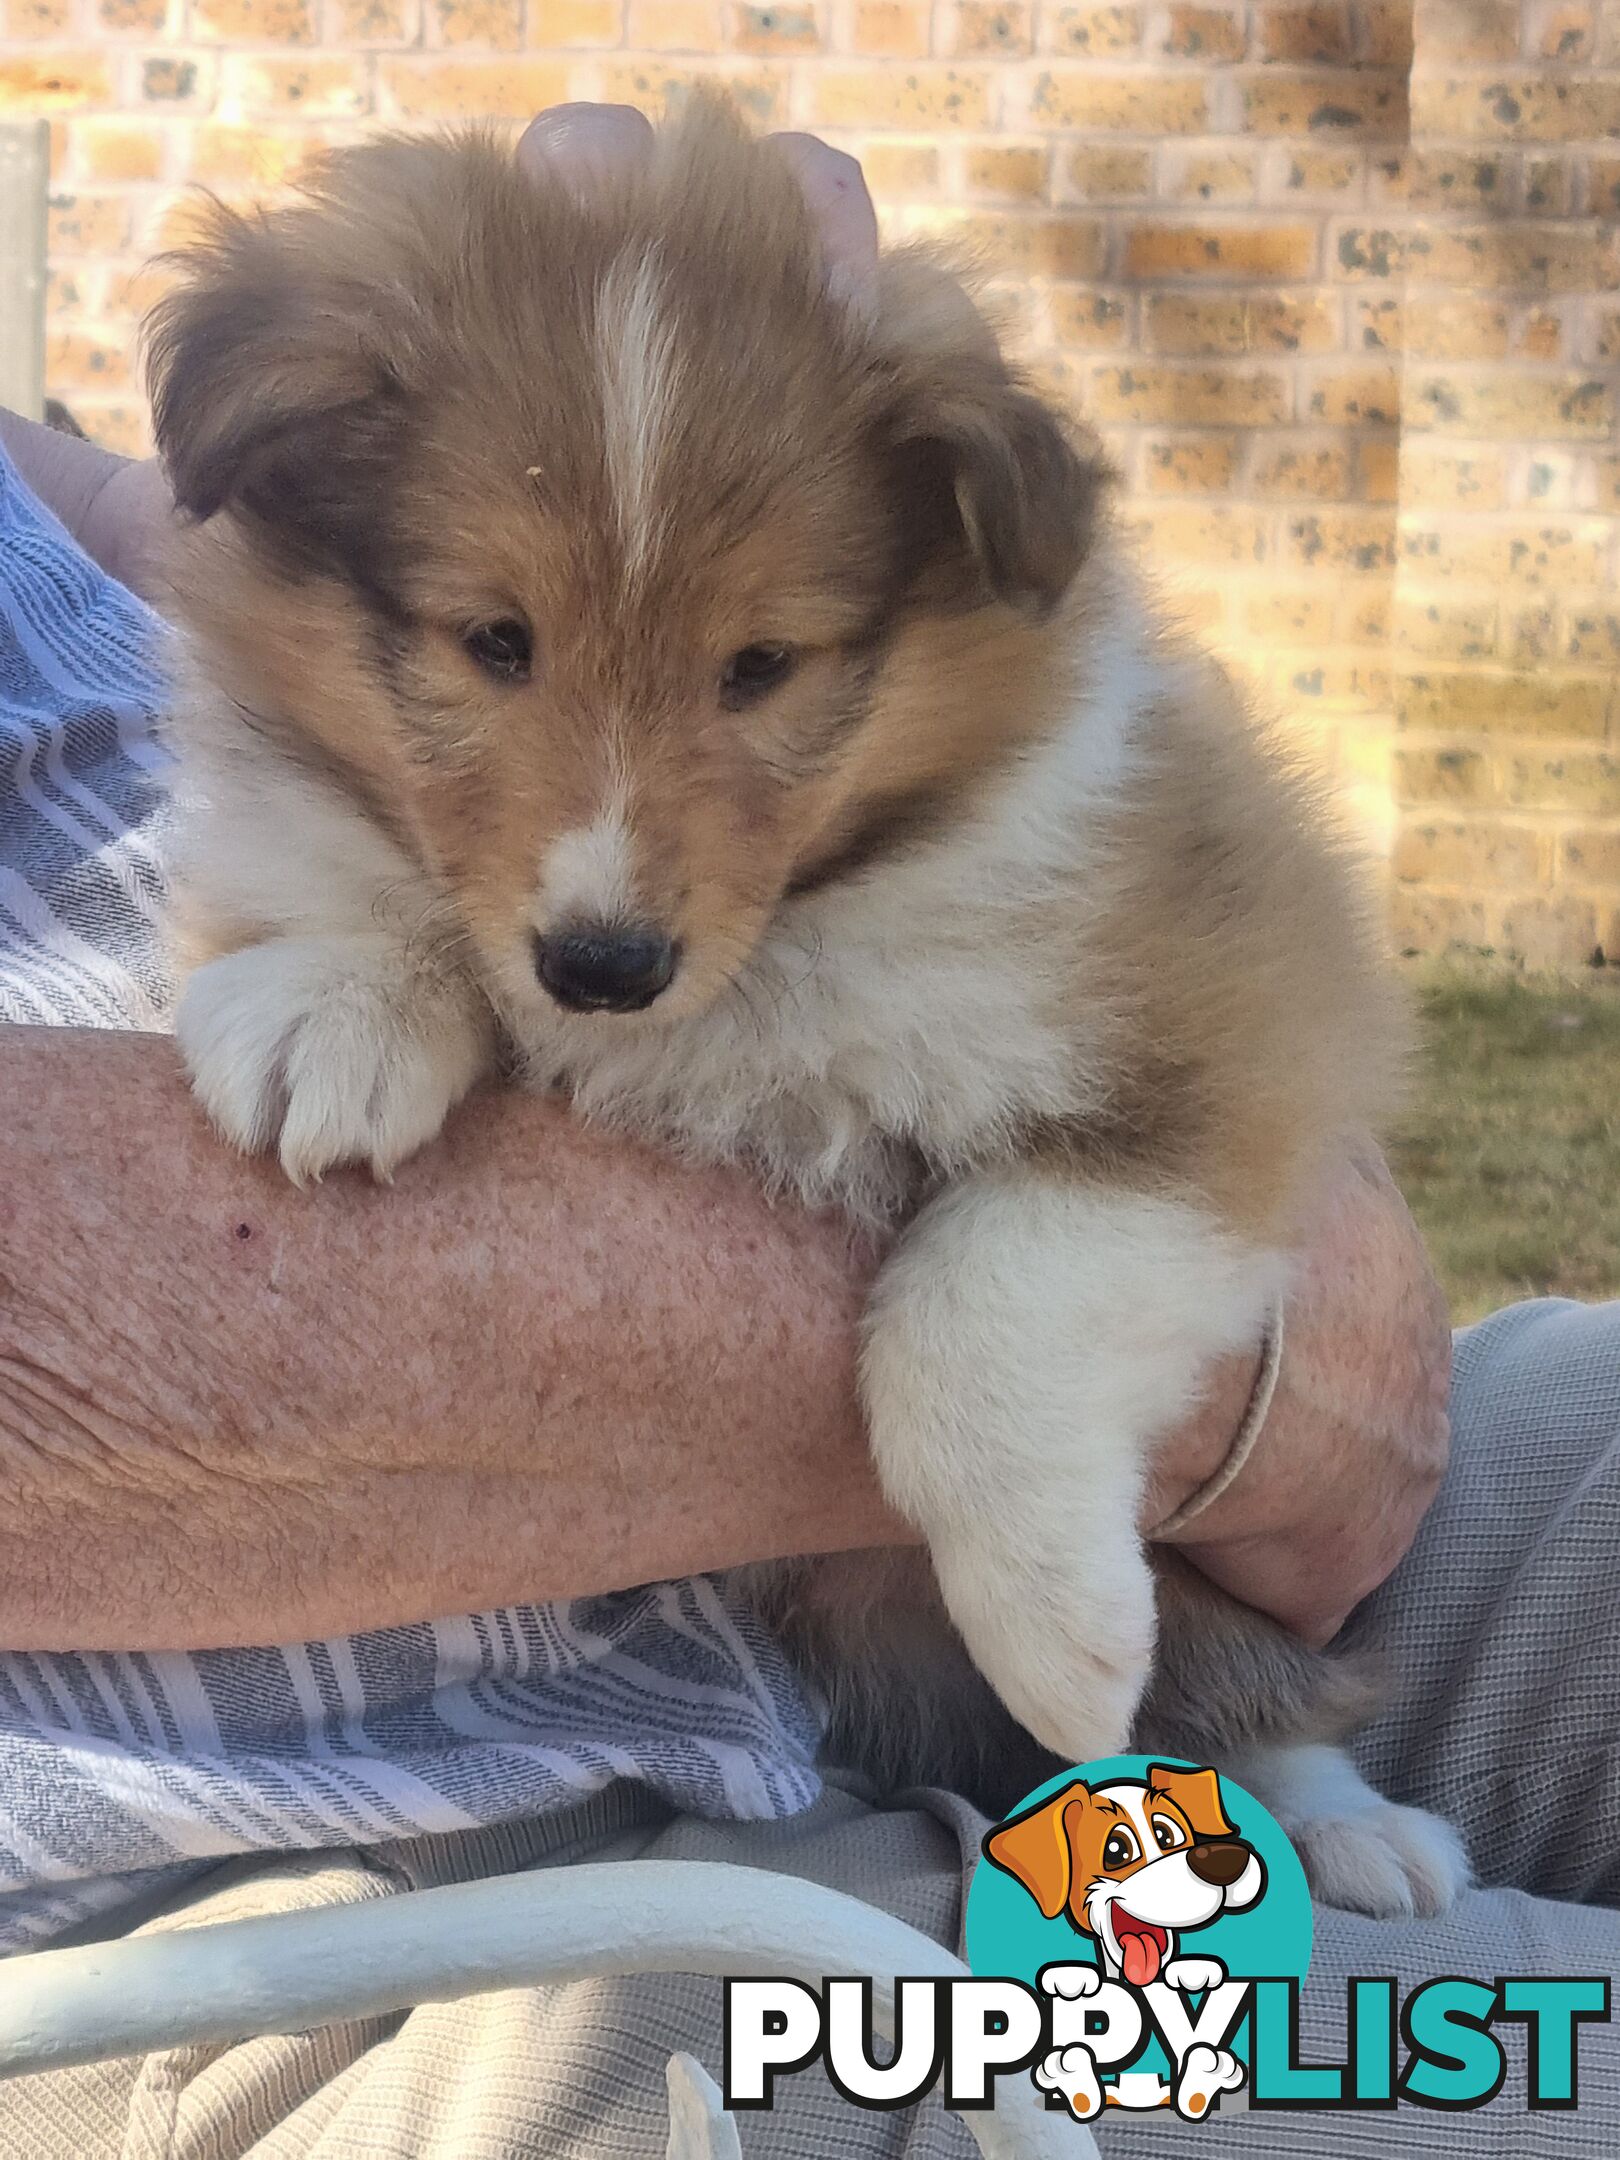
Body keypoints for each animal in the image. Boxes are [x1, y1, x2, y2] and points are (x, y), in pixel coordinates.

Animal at [152, 92, 1468, 1918]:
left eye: (763, 666)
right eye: (495, 640)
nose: (605, 965)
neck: (782, 943)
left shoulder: (1239, 1026)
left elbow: (980, 1300)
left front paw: (1064, 1636)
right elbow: (350, 877)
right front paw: (332, 1003)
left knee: (1273, 1698)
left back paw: (1347, 1830)